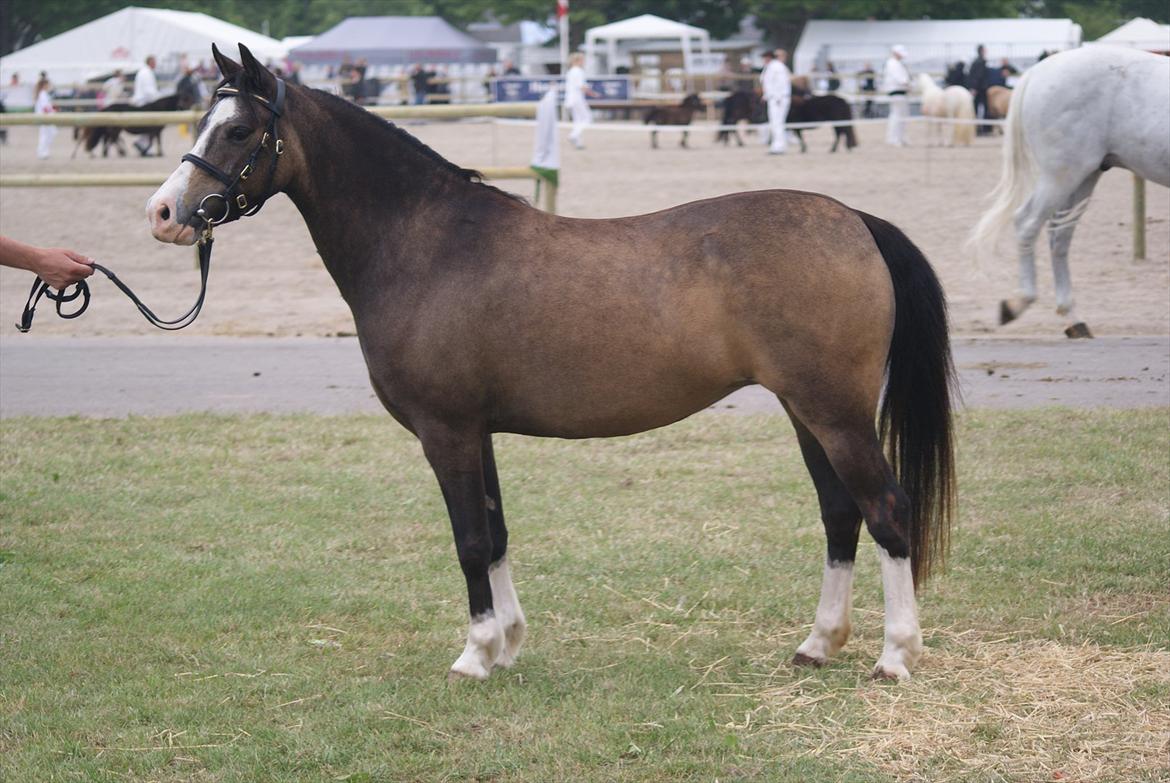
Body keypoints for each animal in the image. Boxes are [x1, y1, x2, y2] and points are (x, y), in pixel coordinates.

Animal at [147, 44, 956, 682]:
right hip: (805, 411)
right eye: (203, 121)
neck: (426, 243)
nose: (164, 213)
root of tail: (856, 222)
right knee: (841, 513)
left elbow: (470, 540)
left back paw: (894, 655)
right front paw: (507, 644)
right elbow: (497, 534)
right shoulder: (476, 432)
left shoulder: (446, 431)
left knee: (887, 510)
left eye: (240, 129)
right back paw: (819, 644)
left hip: (835, 413)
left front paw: (474, 655)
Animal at [969, 46, 1170, 338]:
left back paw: (1073, 318)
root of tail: (1037, 71)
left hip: (1084, 177)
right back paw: (1019, 303)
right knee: (1028, 223)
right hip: (1063, 176)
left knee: (1060, 237)